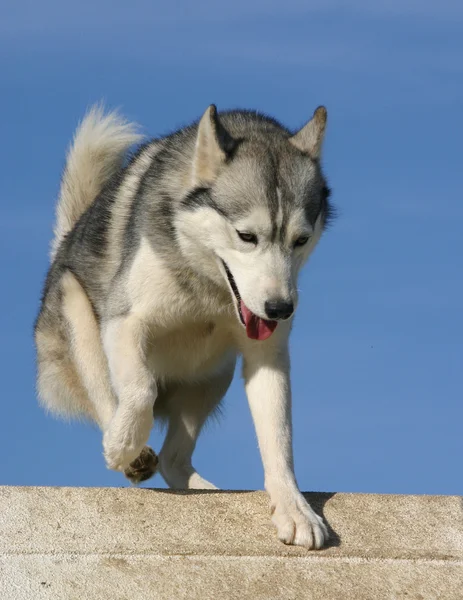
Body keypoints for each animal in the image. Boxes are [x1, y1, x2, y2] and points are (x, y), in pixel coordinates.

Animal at [35, 104, 334, 548]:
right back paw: (129, 452)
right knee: (107, 399)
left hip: (214, 373)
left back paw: (206, 490)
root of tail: (64, 245)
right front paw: (123, 445)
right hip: (77, 312)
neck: (207, 288)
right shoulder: (126, 322)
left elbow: (279, 438)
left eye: (300, 240)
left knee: (174, 460)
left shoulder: (268, 356)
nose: (280, 309)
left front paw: (294, 508)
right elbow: (139, 390)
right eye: (247, 236)